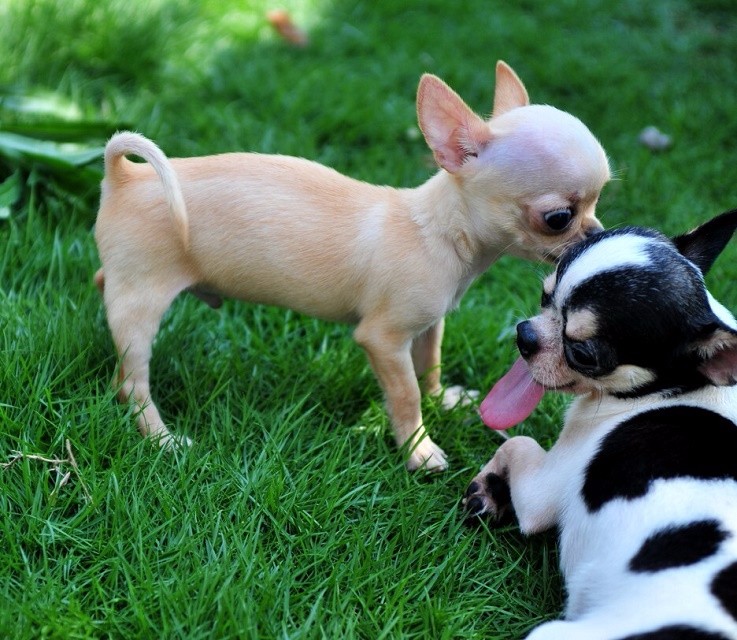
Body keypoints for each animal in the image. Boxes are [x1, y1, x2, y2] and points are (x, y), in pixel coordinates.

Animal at [92, 61, 608, 470]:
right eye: (559, 218)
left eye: (599, 203)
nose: (597, 233)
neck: (436, 230)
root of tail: (125, 176)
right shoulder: (383, 339)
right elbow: (405, 395)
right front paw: (418, 449)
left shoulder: (428, 324)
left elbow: (430, 364)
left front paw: (443, 398)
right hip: (141, 305)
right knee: (131, 383)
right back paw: (161, 439)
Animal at [462, 211, 736, 640]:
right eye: (544, 296)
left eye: (582, 354)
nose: (524, 335)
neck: (677, 386)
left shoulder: (543, 489)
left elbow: (518, 442)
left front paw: (488, 487)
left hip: (557, 633)